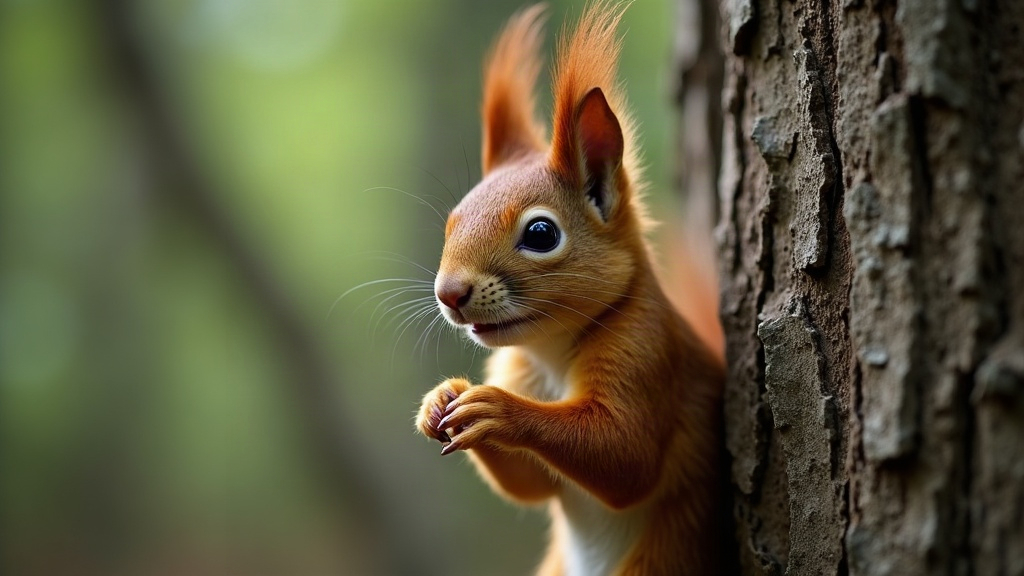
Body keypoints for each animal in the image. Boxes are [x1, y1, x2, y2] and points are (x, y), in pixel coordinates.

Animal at [414, 2, 727, 574]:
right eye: (451, 223)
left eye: (541, 234)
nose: (449, 294)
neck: (552, 352)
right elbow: (529, 486)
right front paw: (440, 399)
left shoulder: (649, 351)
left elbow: (625, 456)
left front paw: (498, 410)